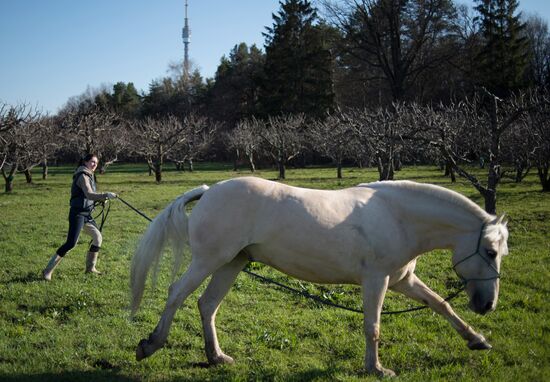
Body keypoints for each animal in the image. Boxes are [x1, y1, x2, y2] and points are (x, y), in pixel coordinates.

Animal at [132, 177, 512, 376]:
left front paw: (477, 340)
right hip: (209, 260)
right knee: (176, 294)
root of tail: (210, 190)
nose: (488, 305)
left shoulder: (402, 280)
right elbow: (373, 327)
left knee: (207, 305)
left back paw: (217, 357)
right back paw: (151, 344)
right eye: (491, 252)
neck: (398, 216)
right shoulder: (377, 281)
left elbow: (441, 306)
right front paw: (376, 369)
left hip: (231, 263)